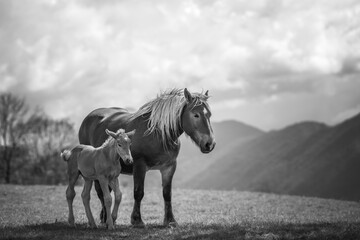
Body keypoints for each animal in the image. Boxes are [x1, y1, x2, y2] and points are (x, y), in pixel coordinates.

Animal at [79, 88, 215, 227]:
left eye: (209, 115)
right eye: (196, 115)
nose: (209, 144)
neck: (158, 134)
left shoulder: (169, 167)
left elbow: (167, 194)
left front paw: (170, 220)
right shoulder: (139, 165)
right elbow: (138, 192)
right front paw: (137, 220)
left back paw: (106, 218)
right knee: (101, 193)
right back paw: (105, 219)